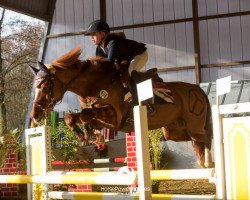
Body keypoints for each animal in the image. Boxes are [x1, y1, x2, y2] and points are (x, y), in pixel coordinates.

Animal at [28, 46, 213, 168]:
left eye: (45, 86)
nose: (35, 115)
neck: (96, 84)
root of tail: (197, 89)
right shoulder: (105, 121)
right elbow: (74, 117)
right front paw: (83, 134)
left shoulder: (114, 116)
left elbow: (86, 114)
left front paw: (85, 133)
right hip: (173, 131)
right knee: (196, 142)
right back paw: (204, 163)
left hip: (194, 126)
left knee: (205, 138)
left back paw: (209, 162)